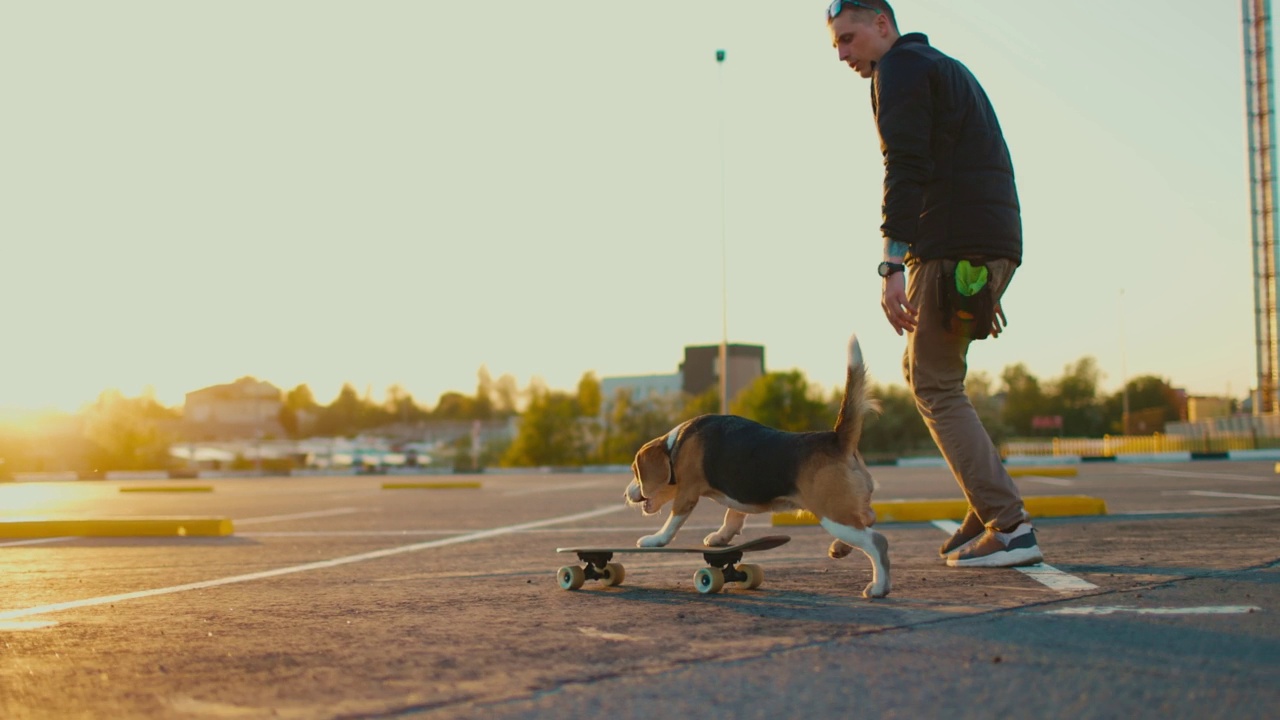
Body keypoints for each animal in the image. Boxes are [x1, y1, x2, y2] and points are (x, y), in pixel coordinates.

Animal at [622, 333, 890, 597]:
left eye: (636, 472)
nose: (626, 494)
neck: (675, 444)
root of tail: (836, 439)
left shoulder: (687, 494)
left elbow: (672, 522)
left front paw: (655, 540)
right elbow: (732, 516)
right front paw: (720, 537)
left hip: (832, 514)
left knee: (876, 540)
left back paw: (878, 586)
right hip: (847, 510)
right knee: (869, 518)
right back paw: (840, 549)